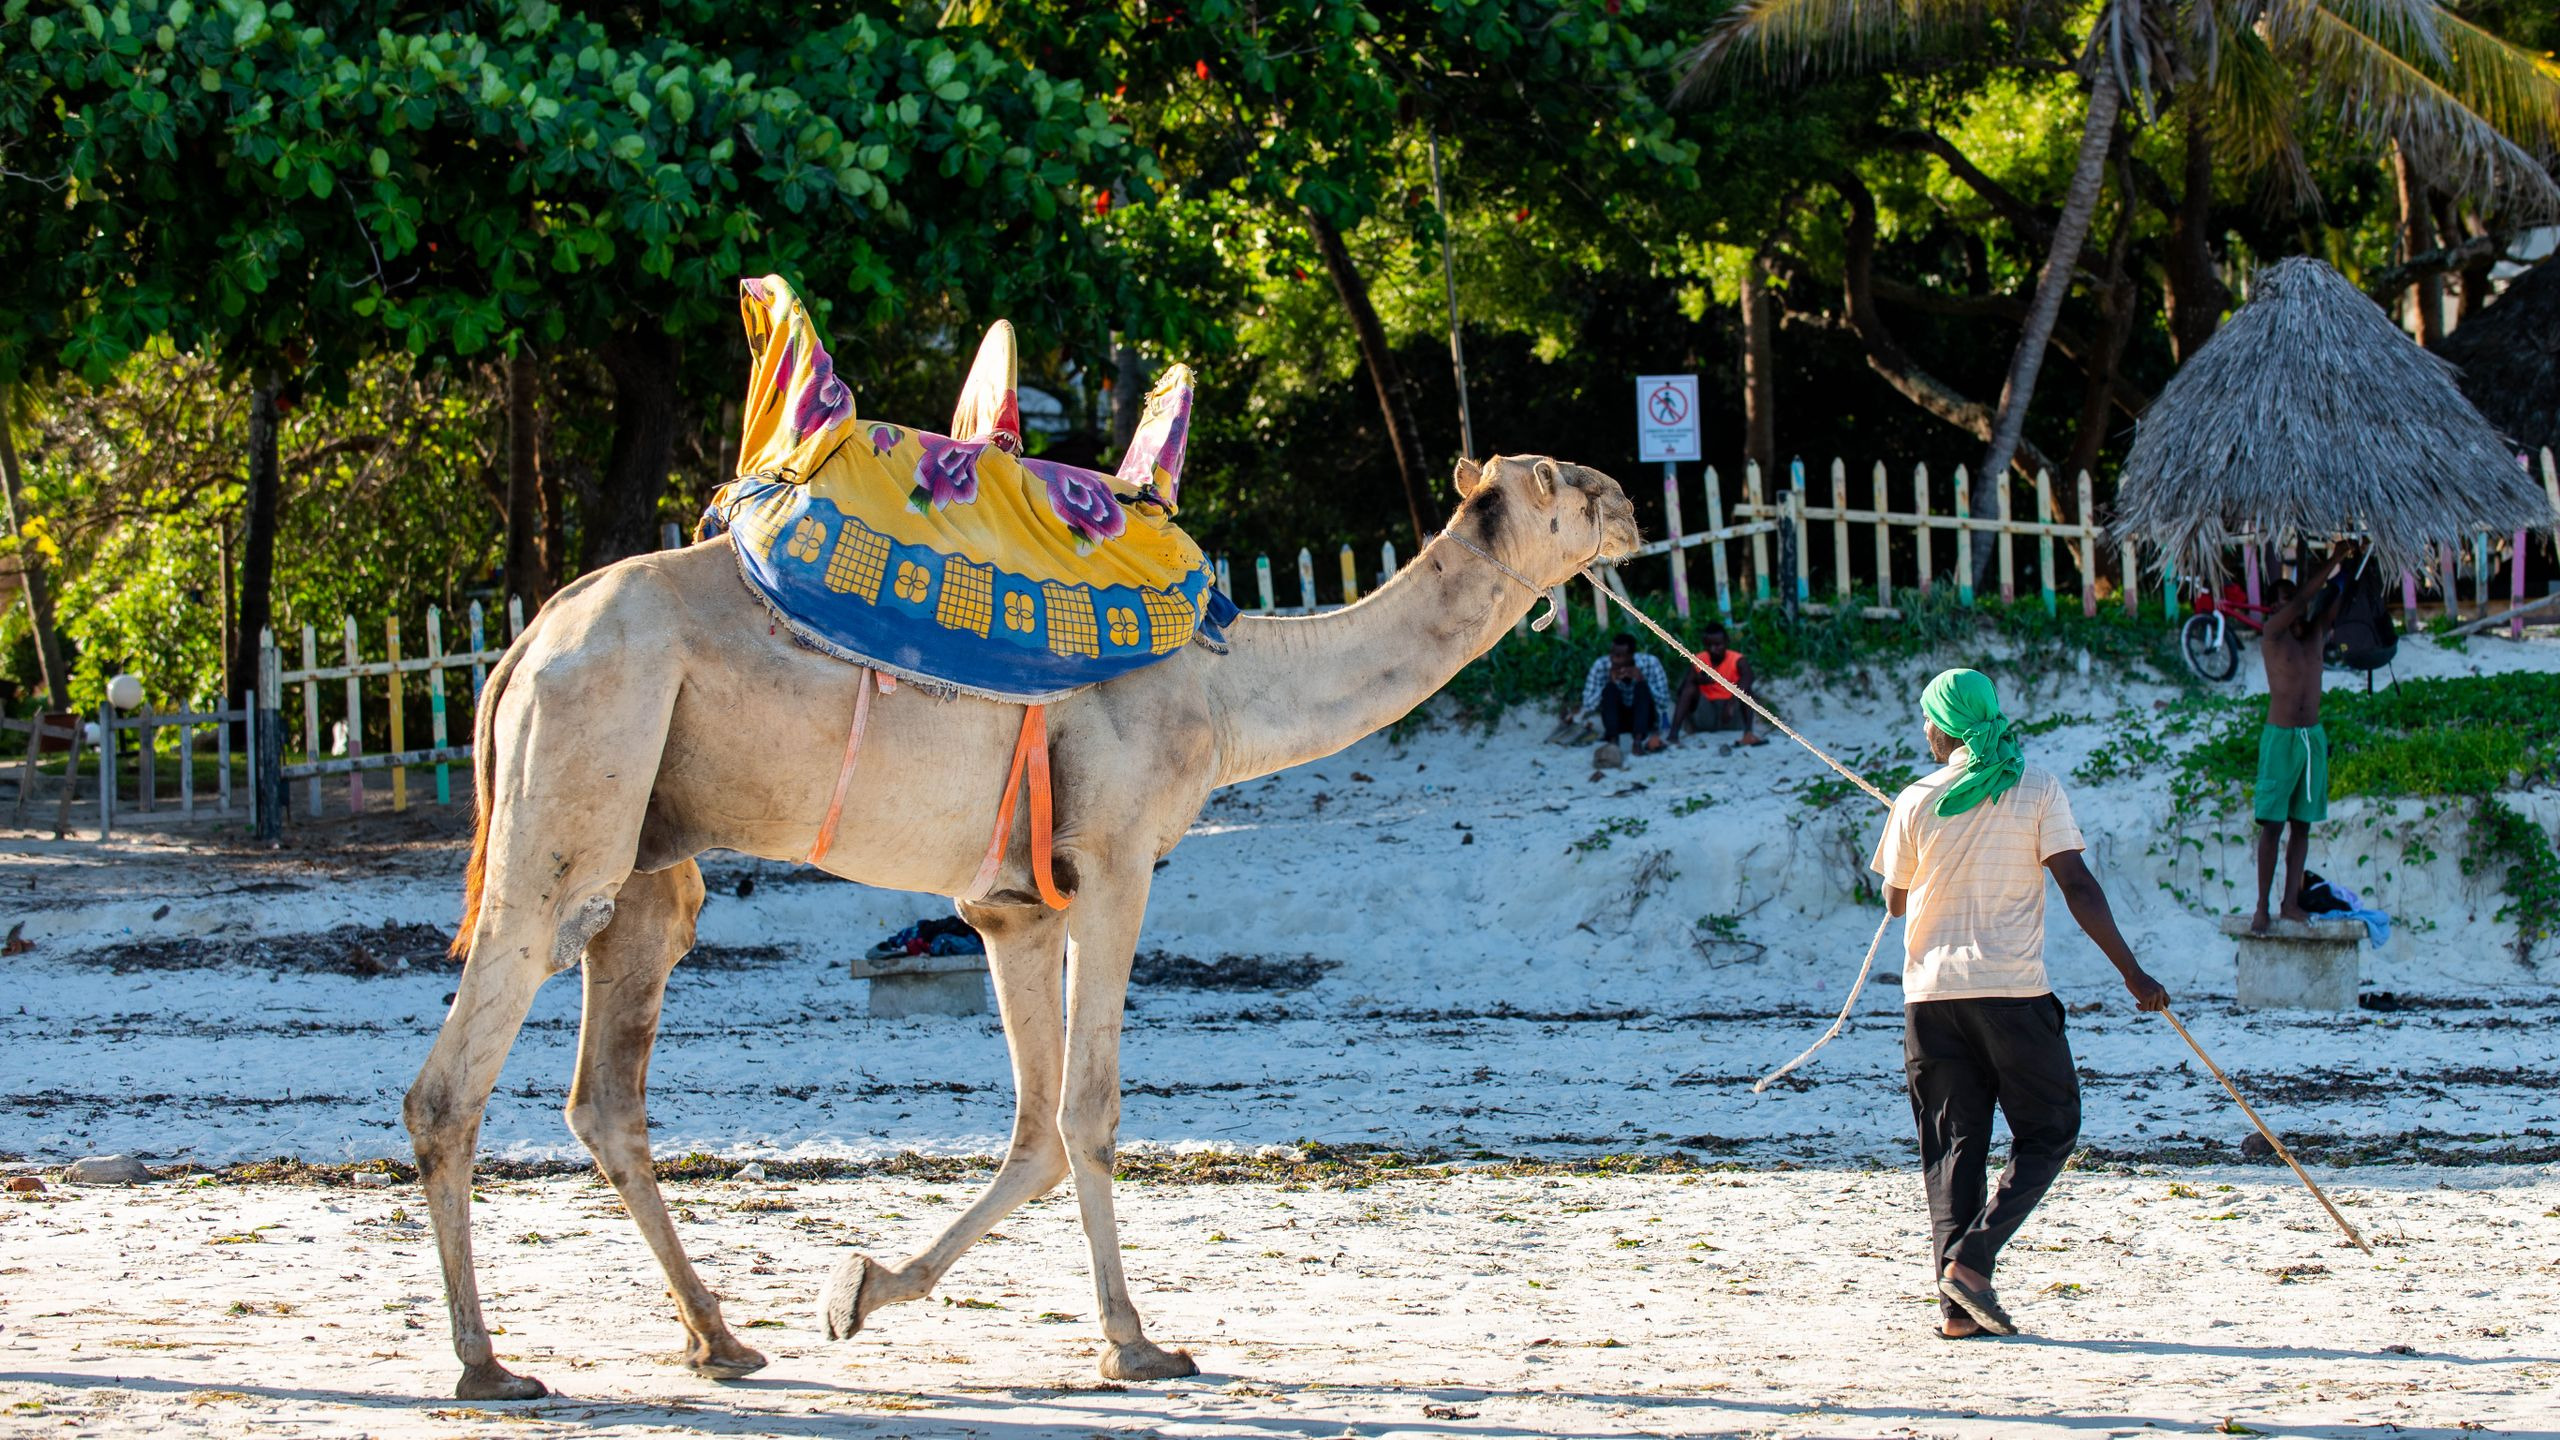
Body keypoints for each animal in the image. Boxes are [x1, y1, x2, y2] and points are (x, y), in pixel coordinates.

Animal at [409, 451, 1640, 1399]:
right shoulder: (1113, 865)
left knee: (608, 1088)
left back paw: (720, 1341)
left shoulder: (1011, 906)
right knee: (456, 1078)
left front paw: (860, 1292)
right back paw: (488, 1366)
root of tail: (521, 650)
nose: (1630, 504)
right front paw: (1138, 1347)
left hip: (649, 851)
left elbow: (1036, 1129)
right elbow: (1089, 1111)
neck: (1230, 691)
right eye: (1568, 484)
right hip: (574, 789)